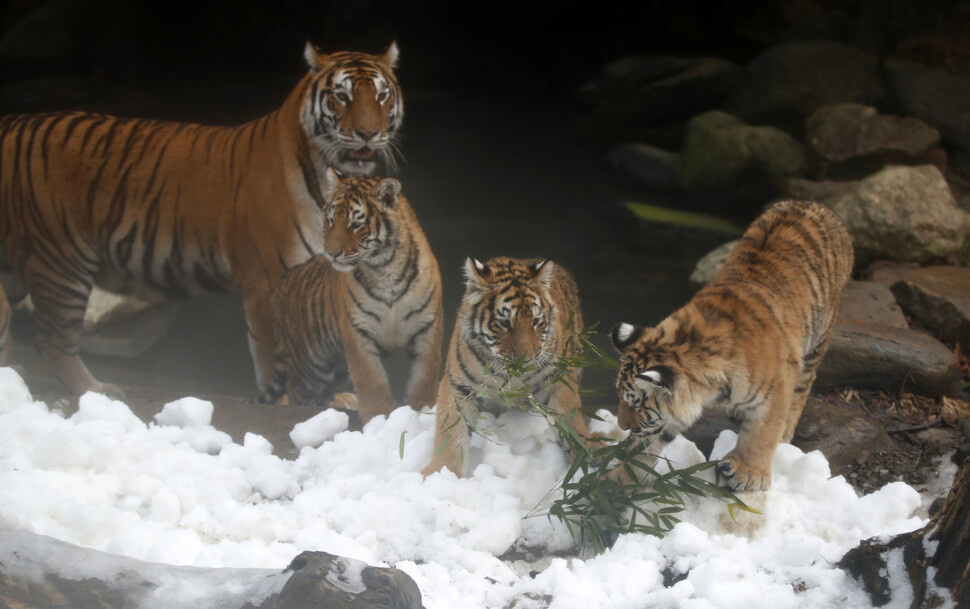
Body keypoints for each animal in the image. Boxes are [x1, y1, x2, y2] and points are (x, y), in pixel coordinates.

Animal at [0, 41, 400, 394]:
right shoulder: (267, 279)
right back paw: (96, 389)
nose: (368, 133)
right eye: (342, 97)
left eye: (382, 97)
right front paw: (284, 398)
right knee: (52, 339)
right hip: (62, 259)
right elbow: (275, 356)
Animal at [266, 169, 444, 420]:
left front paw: (424, 408)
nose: (330, 253)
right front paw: (380, 413)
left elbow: (425, 372)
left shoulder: (427, 322)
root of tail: (283, 281)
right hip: (309, 367)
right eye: (330, 220)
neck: (384, 268)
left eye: (356, 224)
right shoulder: (356, 326)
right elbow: (369, 375)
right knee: (295, 394)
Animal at [424, 254, 596, 478]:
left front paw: (593, 452)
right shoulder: (459, 386)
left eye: (536, 321)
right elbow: (451, 432)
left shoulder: (557, 380)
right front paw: (439, 473)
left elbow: (571, 419)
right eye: (504, 323)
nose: (527, 359)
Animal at [608, 202, 852, 492]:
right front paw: (618, 478)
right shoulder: (667, 415)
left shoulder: (778, 387)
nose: (623, 426)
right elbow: (649, 442)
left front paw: (749, 474)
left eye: (636, 405)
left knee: (803, 387)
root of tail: (816, 205)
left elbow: (762, 433)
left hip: (818, 337)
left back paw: (785, 434)